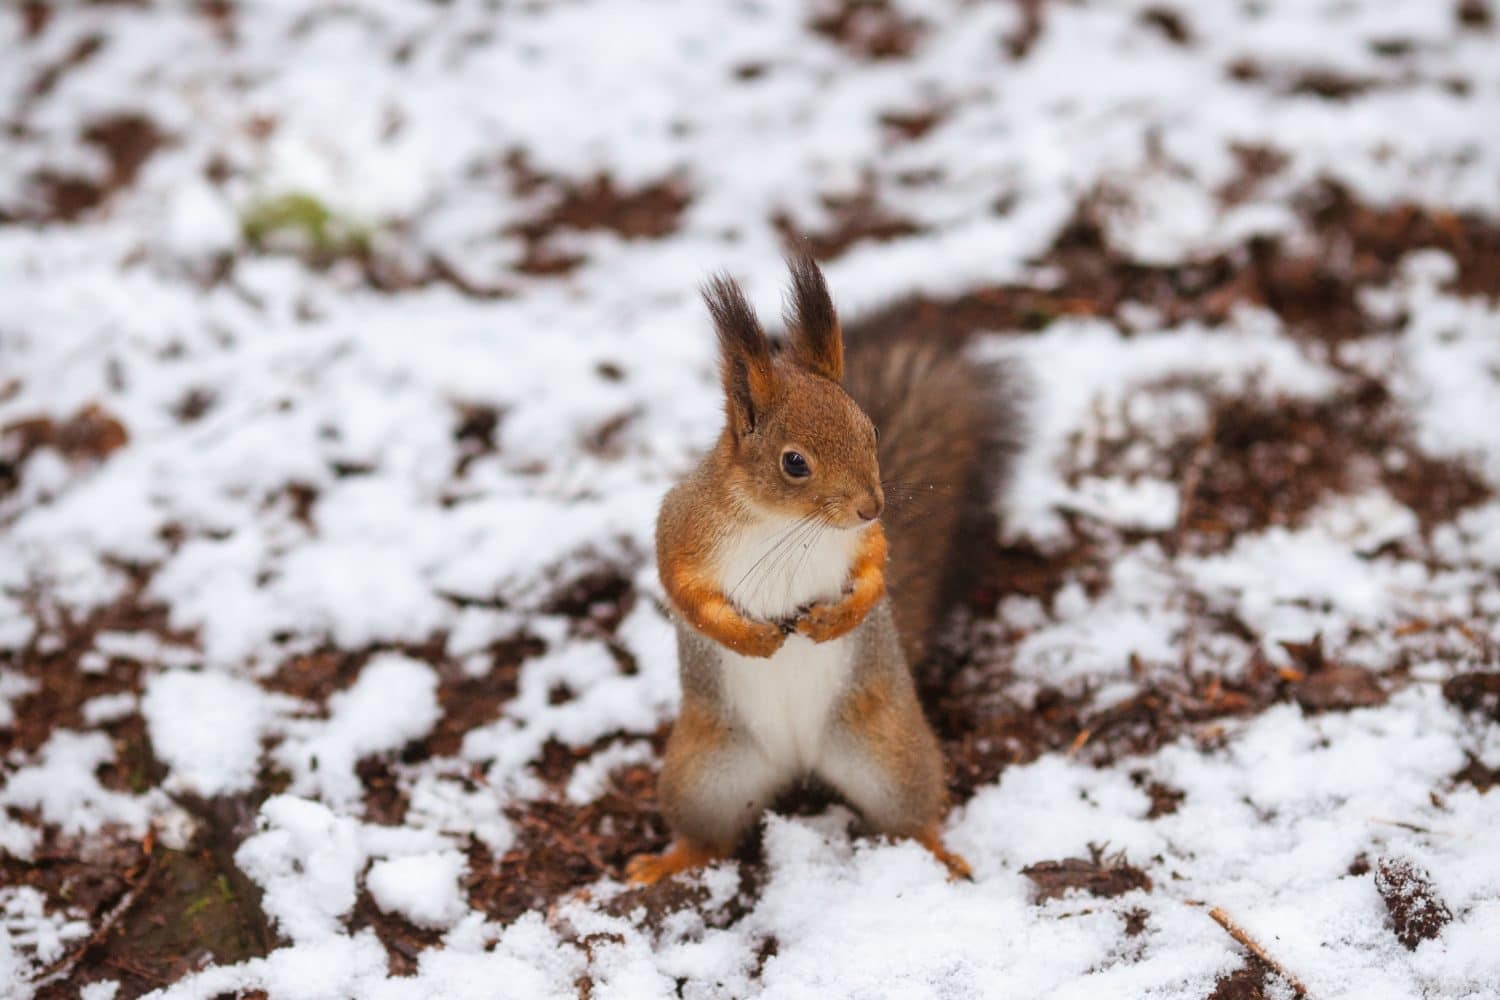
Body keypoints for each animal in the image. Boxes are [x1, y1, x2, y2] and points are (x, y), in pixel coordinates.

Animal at [626, 256, 1024, 884]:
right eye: (794, 463)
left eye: (872, 431)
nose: (872, 505)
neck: (785, 524)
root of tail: (799, 760)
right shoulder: (684, 528)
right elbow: (682, 588)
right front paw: (750, 637)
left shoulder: (861, 542)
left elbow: (875, 568)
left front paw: (837, 620)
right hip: (703, 775)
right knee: (706, 838)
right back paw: (667, 863)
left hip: (892, 755)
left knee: (911, 819)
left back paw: (940, 854)